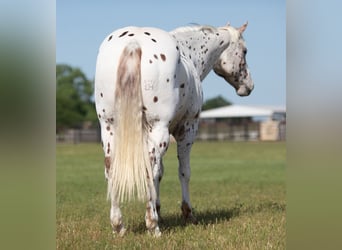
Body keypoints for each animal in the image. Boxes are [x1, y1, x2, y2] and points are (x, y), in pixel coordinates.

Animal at [95, 21, 252, 236]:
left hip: (109, 128)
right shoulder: (187, 130)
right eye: (244, 51)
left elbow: (159, 173)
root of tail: (134, 42)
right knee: (148, 169)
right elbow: (183, 171)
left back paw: (119, 226)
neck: (189, 53)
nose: (249, 86)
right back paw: (153, 227)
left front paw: (159, 210)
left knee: (111, 168)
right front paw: (187, 214)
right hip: (159, 129)